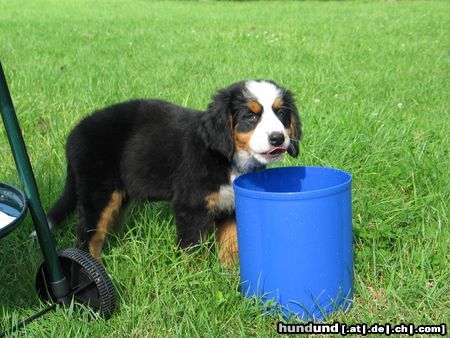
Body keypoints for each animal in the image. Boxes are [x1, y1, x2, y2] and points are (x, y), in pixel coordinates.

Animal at [46, 79, 302, 264]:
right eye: (250, 116)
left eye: (281, 114)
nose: (278, 138)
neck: (228, 159)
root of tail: (75, 133)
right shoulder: (191, 206)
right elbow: (194, 248)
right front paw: (196, 279)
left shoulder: (230, 204)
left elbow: (231, 242)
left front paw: (230, 274)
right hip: (98, 189)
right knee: (89, 234)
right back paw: (96, 268)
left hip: (119, 191)